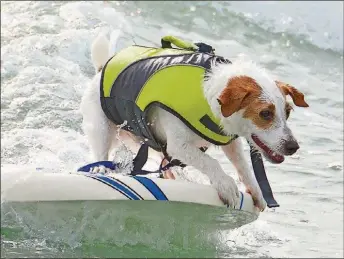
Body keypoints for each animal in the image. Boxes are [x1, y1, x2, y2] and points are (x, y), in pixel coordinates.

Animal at [80, 33, 310, 212]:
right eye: (265, 114)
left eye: (287, 112)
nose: (293, 147)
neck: (209, 95)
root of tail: (101, 68)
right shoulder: (179, 145)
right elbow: (211, 162)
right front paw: (226, 186)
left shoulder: (230, 142)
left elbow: (243, 166)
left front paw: (255, 190)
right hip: (102, 128)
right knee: (101, 153)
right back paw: (100, 170)